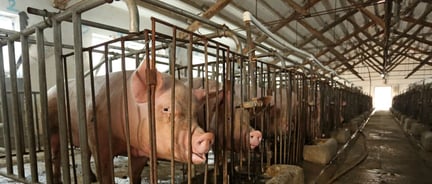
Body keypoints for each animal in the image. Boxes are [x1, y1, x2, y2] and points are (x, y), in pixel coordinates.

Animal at [47, 62, 214, 184]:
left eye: (195, 113)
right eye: (166, 109)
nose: (207, 136)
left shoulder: (141, 150)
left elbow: (135, 174)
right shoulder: (98, 138)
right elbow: (105, 172)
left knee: (84, 153)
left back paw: (91, 178)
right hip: (53, 126)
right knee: (56, 153)